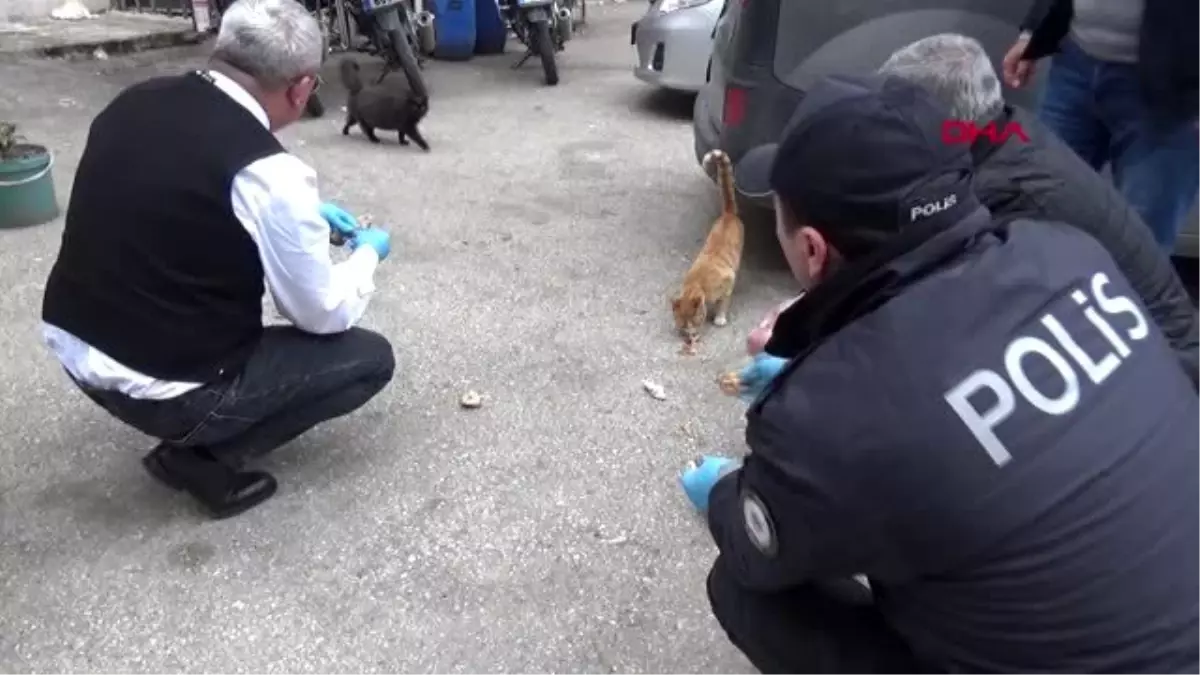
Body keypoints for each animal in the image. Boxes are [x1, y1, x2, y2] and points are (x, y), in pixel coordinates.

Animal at [672, 148, 744, 353]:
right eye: (682, 325)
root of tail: (728, 214)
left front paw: (719, 317)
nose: (689, 336)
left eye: (693, 323)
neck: (699, 284)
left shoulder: (728, 279)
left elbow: (724, 301)